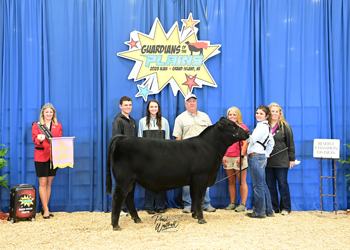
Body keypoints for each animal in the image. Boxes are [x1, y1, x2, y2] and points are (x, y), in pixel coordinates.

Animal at [105, 117, 250, 230]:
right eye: (231, 126)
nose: (248, 132)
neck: (211, 147)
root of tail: (123, 137)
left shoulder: (193, 181)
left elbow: (194, 198)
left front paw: (195, 215)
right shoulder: (201, 178)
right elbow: (200, 199)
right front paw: (201, 219)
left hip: (131, 181)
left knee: (129, 198)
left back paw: (137, 219)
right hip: (123, 179)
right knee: (117, 198)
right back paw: (116, 225)